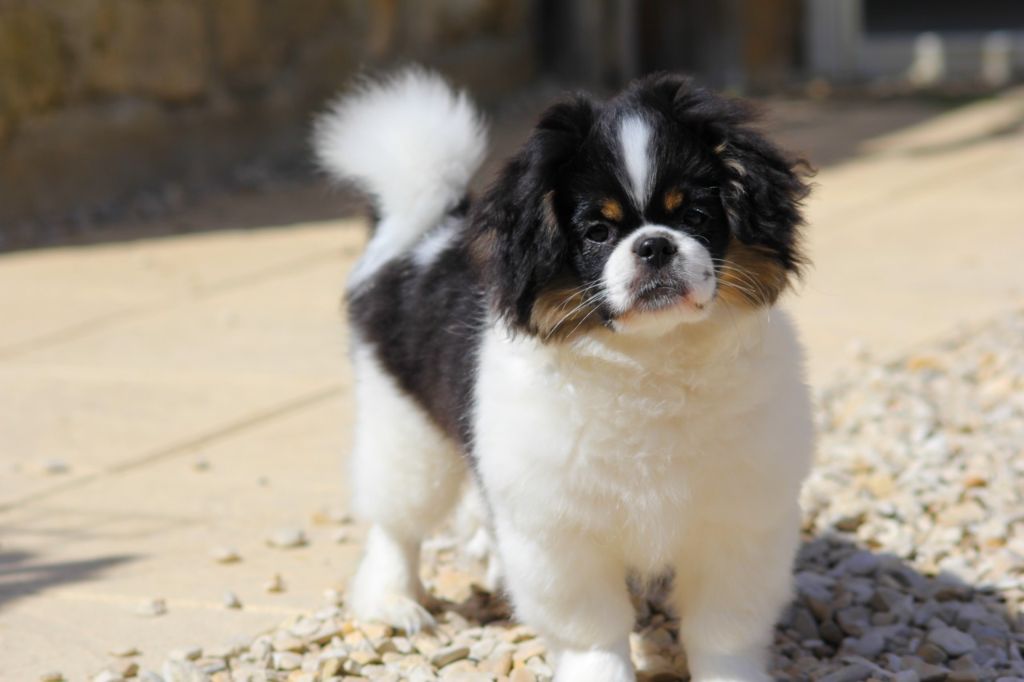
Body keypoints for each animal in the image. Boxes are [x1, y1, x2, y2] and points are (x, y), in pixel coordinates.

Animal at [314, 68, 814, 682]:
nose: (654, 244)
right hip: (406, 431)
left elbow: (724, 630)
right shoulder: (561, 536)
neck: (653, 359)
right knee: (397, 525)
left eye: (696, 217)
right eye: (597, 231)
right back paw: (393, 602)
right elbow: (592, 631)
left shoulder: (740, 521)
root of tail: (424, 233)